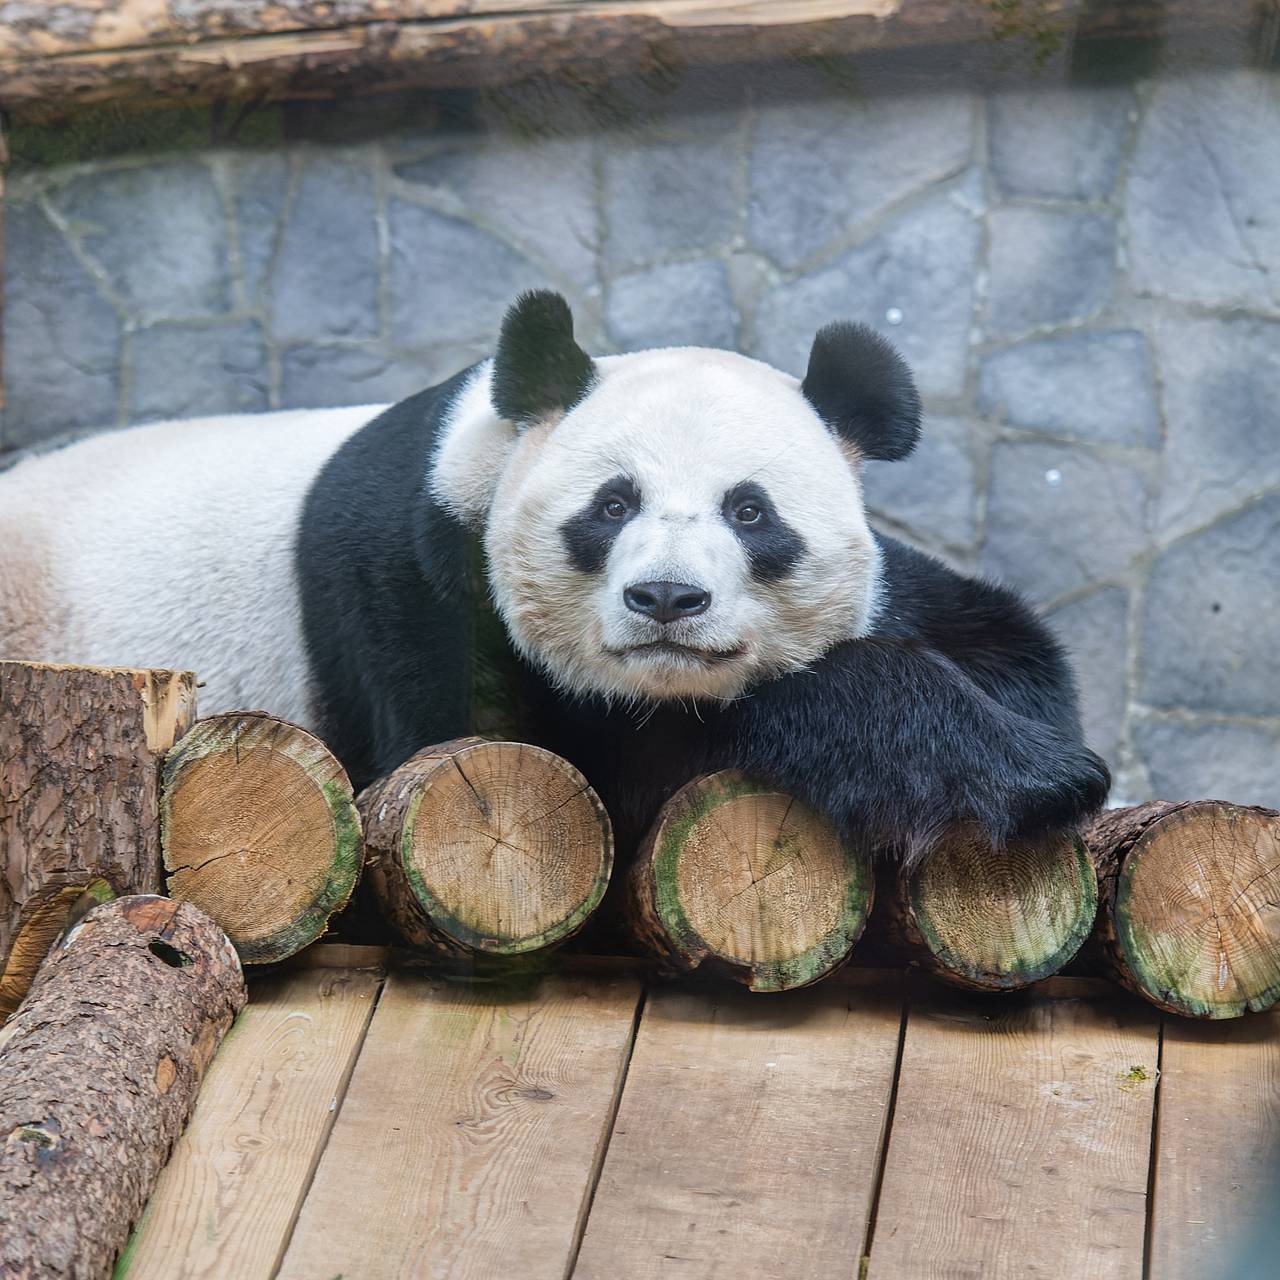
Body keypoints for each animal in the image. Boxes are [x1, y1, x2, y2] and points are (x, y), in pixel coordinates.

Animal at [0, 293, 1105, 860]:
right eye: (610, 505)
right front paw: (1003, 774)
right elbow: (562, 767)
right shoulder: (410, 589)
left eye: (750, 511)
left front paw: (1024, 755)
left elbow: (1008, 648)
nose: (667, 600)